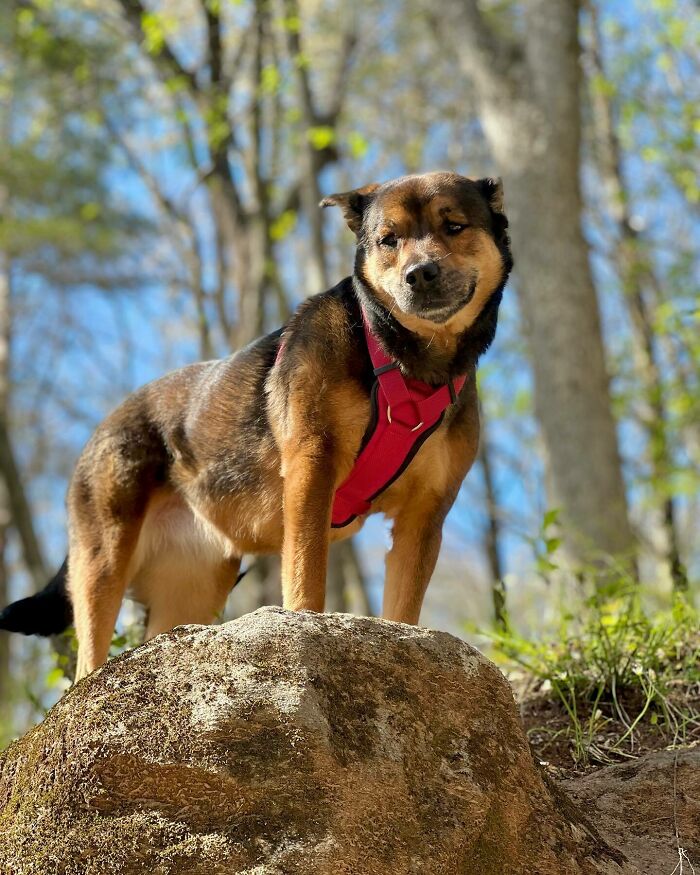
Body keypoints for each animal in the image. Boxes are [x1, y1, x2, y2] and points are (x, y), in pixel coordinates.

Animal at [1, 169, 516, 676]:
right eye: (389, 240)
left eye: (454, 226)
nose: (420, 273)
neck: (405, 361)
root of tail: (102, 429)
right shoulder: (312, 468)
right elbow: (307, 574)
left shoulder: (424, 515)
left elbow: (404, 608)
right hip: (103, 562)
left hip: (189, 594)